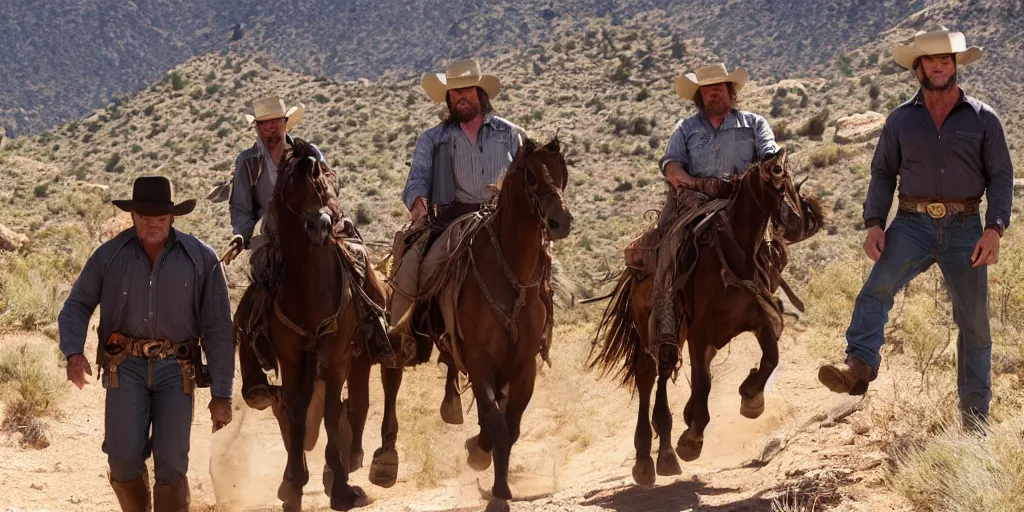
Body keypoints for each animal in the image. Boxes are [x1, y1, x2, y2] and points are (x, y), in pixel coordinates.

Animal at [395, 137, 573, 512]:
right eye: (531, 176)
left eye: (563, 173)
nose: (559, 221)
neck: (513, 279)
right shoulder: (479, 361)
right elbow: (496, 422)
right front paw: (494, 481)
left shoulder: (523, 366)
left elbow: (511, 425)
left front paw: (493, 473)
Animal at [589, 149, 819, 485]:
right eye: (773, 181)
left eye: (790, 179)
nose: (797, 223)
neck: (735, 256)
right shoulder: (699, 333)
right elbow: (701, 385)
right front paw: (691, 440)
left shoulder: (759, 319)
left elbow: (769, 358)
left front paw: (751, 398)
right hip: (659, 329)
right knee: (652, 376)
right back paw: (653, 458)